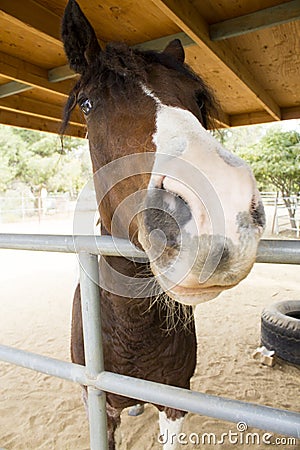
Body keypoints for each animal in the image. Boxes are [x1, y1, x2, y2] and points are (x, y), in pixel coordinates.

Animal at [60, 1, 264, 448]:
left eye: (199, 101)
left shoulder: (175, 403)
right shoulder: (100, 409)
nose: (219, 206)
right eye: (87, 104)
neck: (131, 329)